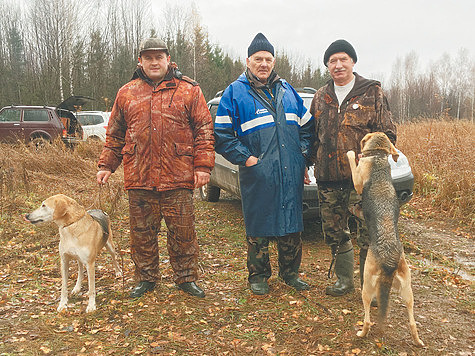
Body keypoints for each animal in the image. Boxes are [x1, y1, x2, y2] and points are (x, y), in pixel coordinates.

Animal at [346, 132, 424, 346]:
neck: (379, 157)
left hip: (367, 285)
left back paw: (361, 333)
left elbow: (352, 161)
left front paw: (351, 152)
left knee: (367, 319)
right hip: (407, 291)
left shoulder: (357, 180)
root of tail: (389, 262)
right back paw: (417, 340)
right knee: (412, 321)